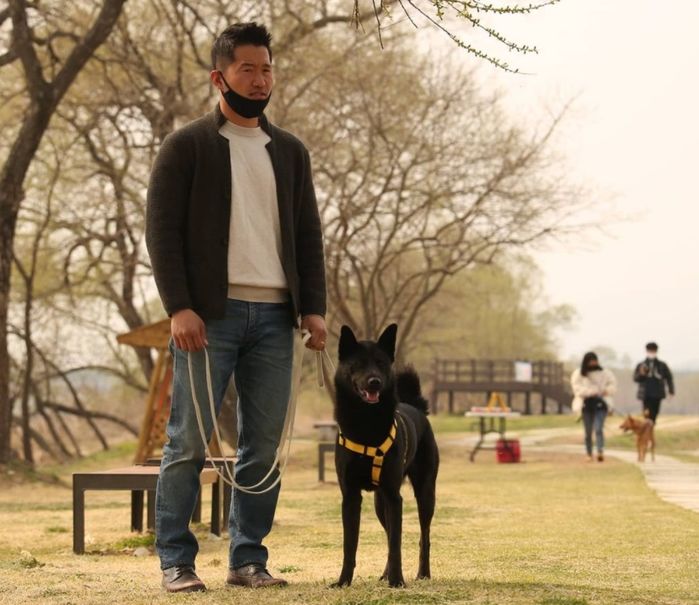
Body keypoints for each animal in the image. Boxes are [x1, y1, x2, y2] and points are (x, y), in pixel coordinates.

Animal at [332, 326, 438, 584]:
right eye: (358, 364)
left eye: (380, 363)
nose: (375, 382)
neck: (366, 425)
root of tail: (415, 406)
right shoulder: (350, 497)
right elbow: (350, 545)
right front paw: (343, 582)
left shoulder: (394, 496)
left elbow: (396, 545)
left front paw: (397, 581)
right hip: (380, 503)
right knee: (390, 532)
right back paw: (385, 574)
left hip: (425, 494)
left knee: (424, 536)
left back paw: (423, 573)